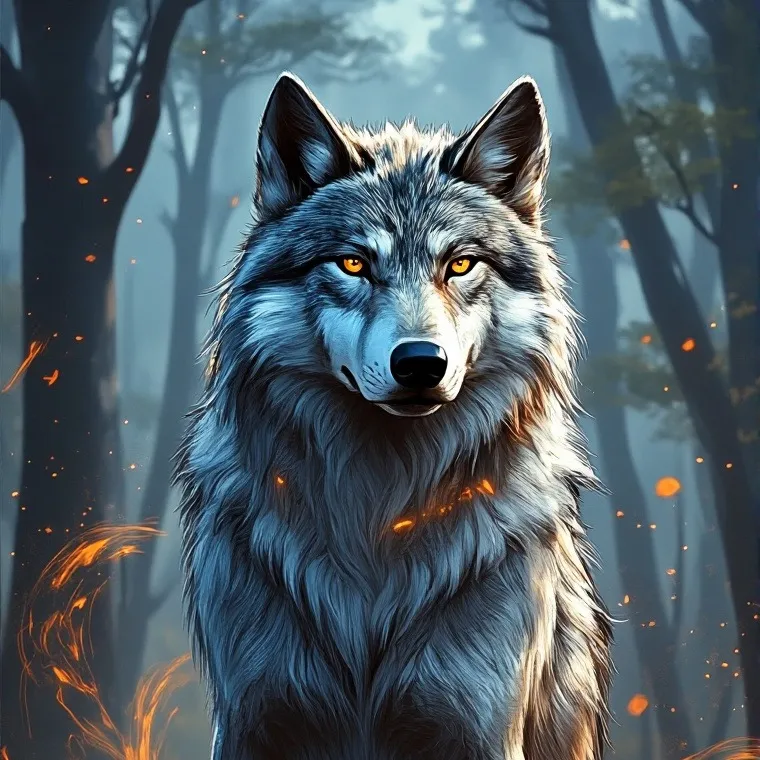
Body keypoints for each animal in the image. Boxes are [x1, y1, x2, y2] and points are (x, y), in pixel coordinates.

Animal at [174, 71, 614, 760]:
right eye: (353, 263)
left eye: (460, 263)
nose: (421, 363)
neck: (378, 510)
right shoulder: (254, 720)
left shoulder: (477, 725)